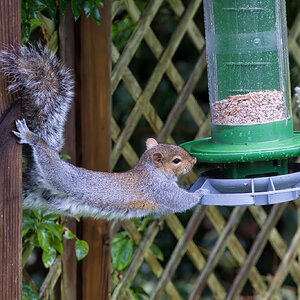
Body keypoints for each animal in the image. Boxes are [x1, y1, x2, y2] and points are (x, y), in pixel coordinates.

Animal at [0, 44, 206, 218]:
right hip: (59, 175)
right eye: (176, 160)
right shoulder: (159, 190)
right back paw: (32, 137)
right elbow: (180, 202)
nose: (194, 161)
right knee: (46, 158)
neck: (153, 171)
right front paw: (200, 192)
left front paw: (190, 186)